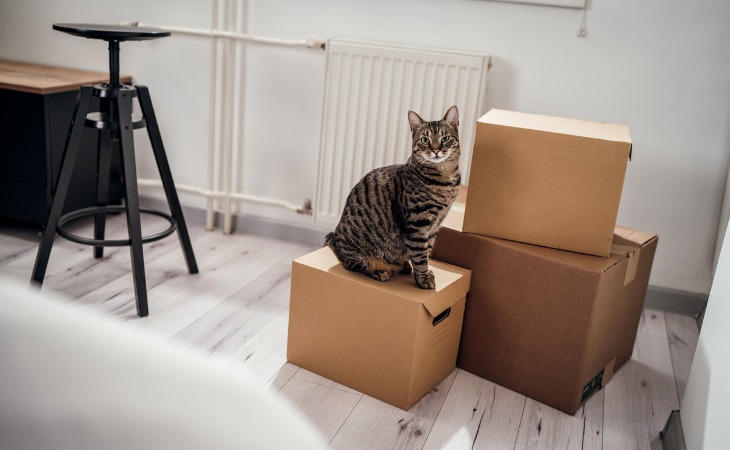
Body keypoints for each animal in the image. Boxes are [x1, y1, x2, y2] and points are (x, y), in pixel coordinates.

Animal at [326, 104, 458, 288]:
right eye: (425, 140)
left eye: (445, 138)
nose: (436, 150)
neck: (446, 178)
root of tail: (338, 244)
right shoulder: (417, 224)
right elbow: (420, 256)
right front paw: (423, 279)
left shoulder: (433, 227)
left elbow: (426, 252)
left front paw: (423, 273)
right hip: (356, 253)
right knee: (354, 264)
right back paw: (379, 271)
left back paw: (403, 266)